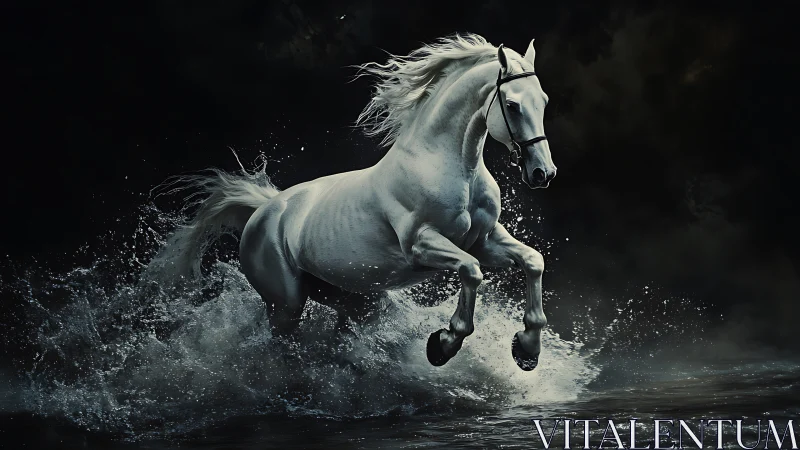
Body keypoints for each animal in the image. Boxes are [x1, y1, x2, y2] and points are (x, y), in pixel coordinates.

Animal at [158, 33, 557, 371]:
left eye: (544, 101)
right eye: (512, 105)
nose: (543, 173)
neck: (448, 166)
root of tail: (263, 209)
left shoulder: (484, 240)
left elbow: (532, 261)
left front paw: (527, 349)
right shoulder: (422, 245)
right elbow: (471, 271)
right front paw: (443, 344)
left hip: (355, 302)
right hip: (285, 304)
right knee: (277, 344)